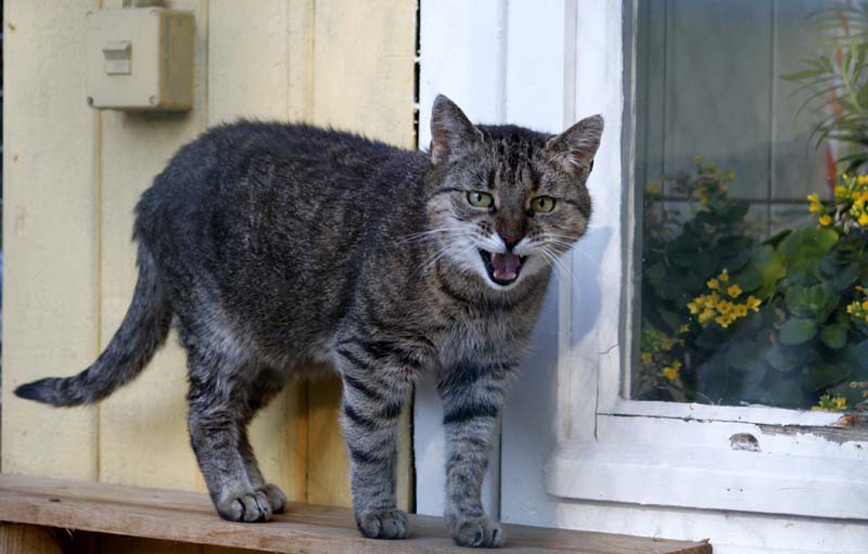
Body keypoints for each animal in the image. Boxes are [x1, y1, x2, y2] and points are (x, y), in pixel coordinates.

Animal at [15, 95, 604, 544]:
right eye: (480, 196)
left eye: (543, 203)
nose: (510, 235)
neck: (479, 302)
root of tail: (157, 184)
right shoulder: (373, 356)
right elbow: (373, 442)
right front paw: (376, 513)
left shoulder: (481, 374)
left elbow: (470, 451)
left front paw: (468, 519)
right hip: (219, 338)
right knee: (205, 415)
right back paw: (234, 493)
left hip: (271, 353)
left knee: (236, 416)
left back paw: (255, 487)